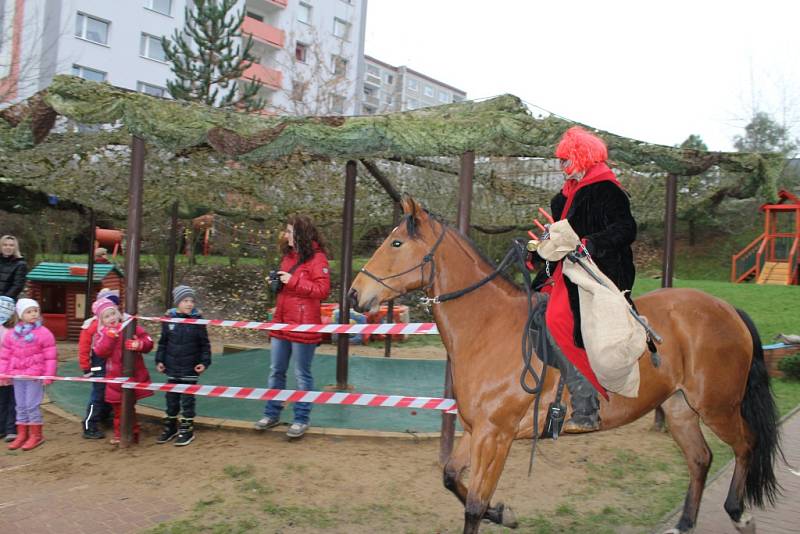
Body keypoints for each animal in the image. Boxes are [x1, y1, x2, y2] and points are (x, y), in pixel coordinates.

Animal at [348, 197, 780, 534]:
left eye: (396, 242)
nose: (354, 294)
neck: (489, 327)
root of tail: (727, 309)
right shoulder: (476, 431)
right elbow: (452, 477)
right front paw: (503, 513)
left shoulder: (496, 437)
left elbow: (473, 506)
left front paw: (493, 510)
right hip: (679, 409)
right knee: (700, 458)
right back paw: (686, 522)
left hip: (718, 407)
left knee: (746, 445)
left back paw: (739, 513)